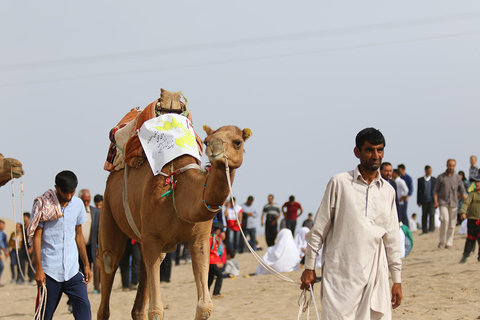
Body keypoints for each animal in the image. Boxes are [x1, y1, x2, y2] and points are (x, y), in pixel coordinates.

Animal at [95, 124, 249, 318]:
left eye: (238, 142)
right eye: (207, 141)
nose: (214, 148)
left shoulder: (199, 240)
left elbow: (205, 306)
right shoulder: (152, 238)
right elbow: (156, 310)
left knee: (140, 298)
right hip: (108, 209)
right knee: (109, 261)